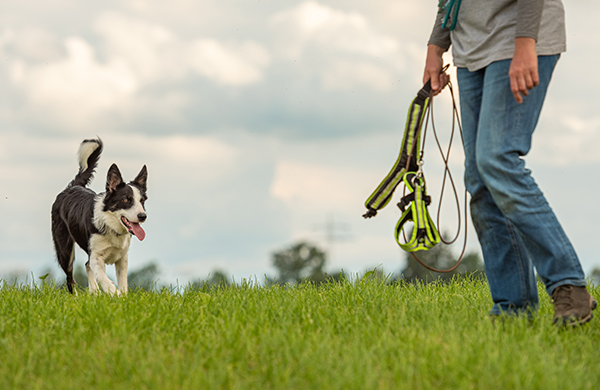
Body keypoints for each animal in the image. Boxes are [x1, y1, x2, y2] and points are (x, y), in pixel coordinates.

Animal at [52, 139, 149, 294]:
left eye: (142, 201)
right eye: (126, 200)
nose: (142, 216)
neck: (110, 225)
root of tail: (72, 187)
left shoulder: (122, 258)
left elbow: (123, 283)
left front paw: (122, 296)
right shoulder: (96, 256)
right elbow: (103, 278)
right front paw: (115, 294)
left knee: (86, 265)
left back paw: (94, 292)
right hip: (64, 250)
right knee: (70, 278)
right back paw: (77, 296)